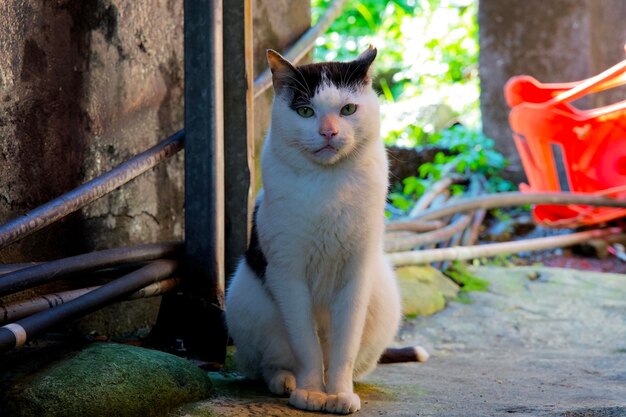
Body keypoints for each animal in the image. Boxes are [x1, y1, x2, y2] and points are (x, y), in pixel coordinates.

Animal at [224, 46, 400, 412]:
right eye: (306, 111)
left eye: (348, 109)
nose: (328, 132)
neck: (327, 184)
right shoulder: (287, 272)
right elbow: (306, 344)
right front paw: (311, 392)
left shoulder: (356, 272)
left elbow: (344, 346)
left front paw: (339, 393)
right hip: (245, 300)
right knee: (267, 363)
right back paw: (285, 381)